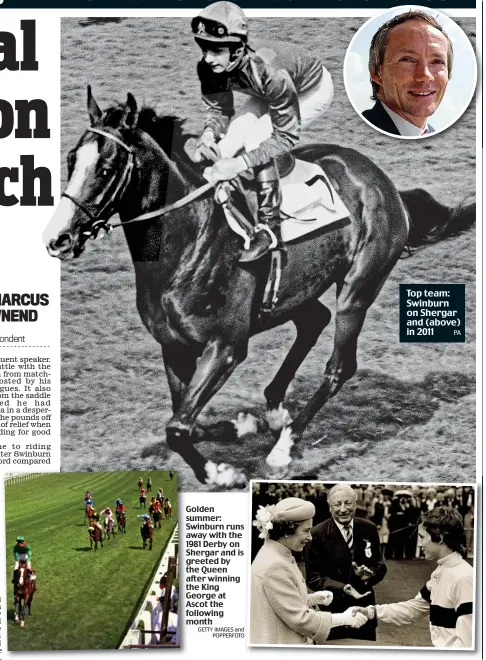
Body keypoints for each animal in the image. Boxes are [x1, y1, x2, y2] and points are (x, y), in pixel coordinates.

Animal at [43, 87, 476, 490]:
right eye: (71, 160)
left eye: (106, 167)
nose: (57, 239)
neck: (185, 247)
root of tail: (383, 182)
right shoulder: (174, 347)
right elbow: (183, 421)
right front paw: (236, 432)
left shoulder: (225, 346)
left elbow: (178, 427)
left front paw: (221, 468)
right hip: (294, 291)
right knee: (313, 320)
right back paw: (274, 411)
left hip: (358, 286)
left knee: (339, 366)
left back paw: (285, 444)